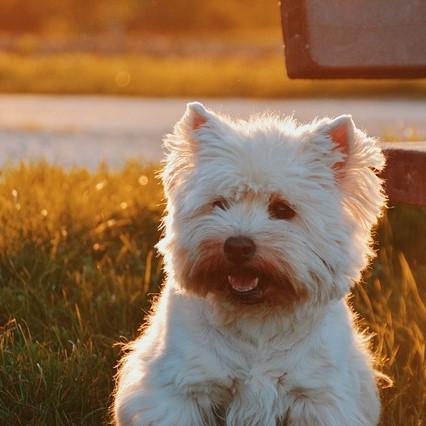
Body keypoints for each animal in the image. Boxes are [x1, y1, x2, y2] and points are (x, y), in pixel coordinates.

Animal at [113, 101, 386, 424]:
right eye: (219, 203)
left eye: (283, 209)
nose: (237, 246)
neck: (257, 320)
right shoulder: (181, 389)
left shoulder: (319, 396)